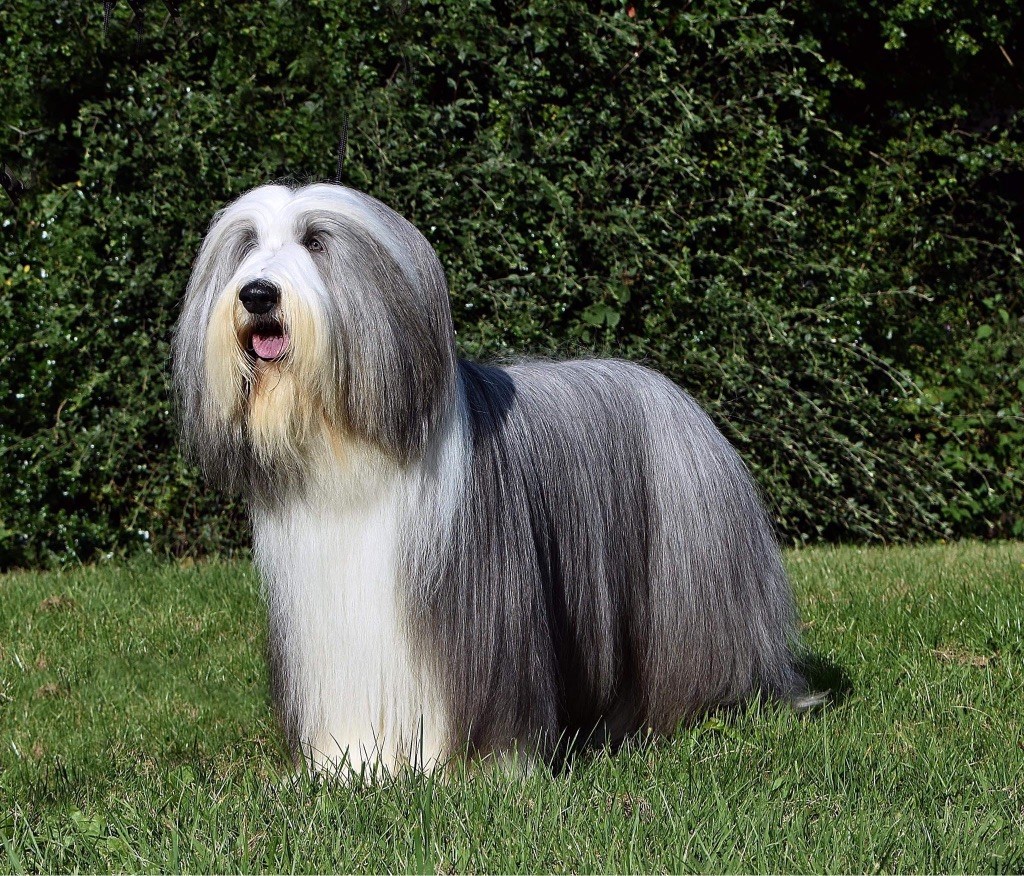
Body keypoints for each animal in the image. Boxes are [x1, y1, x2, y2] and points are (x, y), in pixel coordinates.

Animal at [172, 182, 813, 776]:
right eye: (247, 245)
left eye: (316, 241)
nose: (257, 293)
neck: (346, 444)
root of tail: (677, 397)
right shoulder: (328, 624)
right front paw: (346, 769)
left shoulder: (482, 610)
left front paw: (480, 771)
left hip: (691, 585)